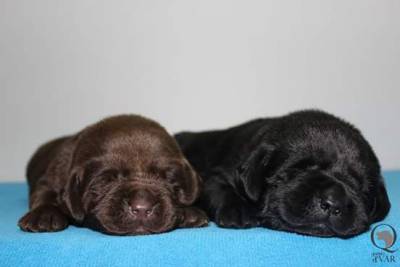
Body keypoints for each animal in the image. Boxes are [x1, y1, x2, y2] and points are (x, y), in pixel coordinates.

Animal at [18, 115, 208, 237]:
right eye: (106, 180)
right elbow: (43, 192)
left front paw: (188, 212)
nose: (142, 208)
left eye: (167, 179)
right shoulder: (52, 176)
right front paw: (43, 215)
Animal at [176, 111, 390, 239]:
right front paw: (238, 211)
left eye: (361, 189)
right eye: (298, 170)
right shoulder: (219, 173)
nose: (333, 202)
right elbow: (218, 187)